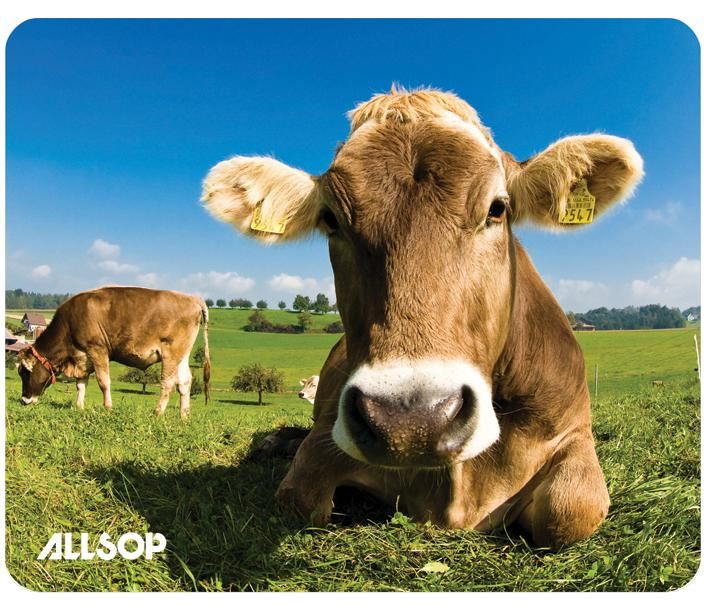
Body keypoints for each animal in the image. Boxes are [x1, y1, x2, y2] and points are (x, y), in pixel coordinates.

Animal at [17, 286, 210, 418]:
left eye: (25, 372)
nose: (23, 400)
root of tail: (192, 298)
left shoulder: (97, 349)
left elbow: (103, 382)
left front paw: (107, 407)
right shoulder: (83, 356)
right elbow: (80, 384)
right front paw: (79, 406)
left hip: (170, 354)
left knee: (168, 383)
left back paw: (157, 412)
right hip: (182, 355)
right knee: (184, 382)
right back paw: (183, 416)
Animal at [202, 88, 643, 548]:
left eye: (497, 208)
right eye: (331, 219)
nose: (411, 421)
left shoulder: (574, 434)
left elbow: (571, 510)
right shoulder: (326, 439)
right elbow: (301, 497)